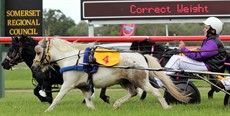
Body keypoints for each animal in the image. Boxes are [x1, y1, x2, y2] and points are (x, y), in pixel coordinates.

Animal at [31, 37, 190, 111]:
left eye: (38, 51)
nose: (34, 65)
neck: (72, 59)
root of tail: (142, 56)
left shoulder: (67, 85)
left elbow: (57, 99)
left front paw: (47, 110)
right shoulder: (84, 87)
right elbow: (89, 102)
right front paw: (93, 110)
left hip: (141, 81)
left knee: (155, 92)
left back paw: (166, 107)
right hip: (124, 81)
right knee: (132, 92)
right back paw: (117, 104)